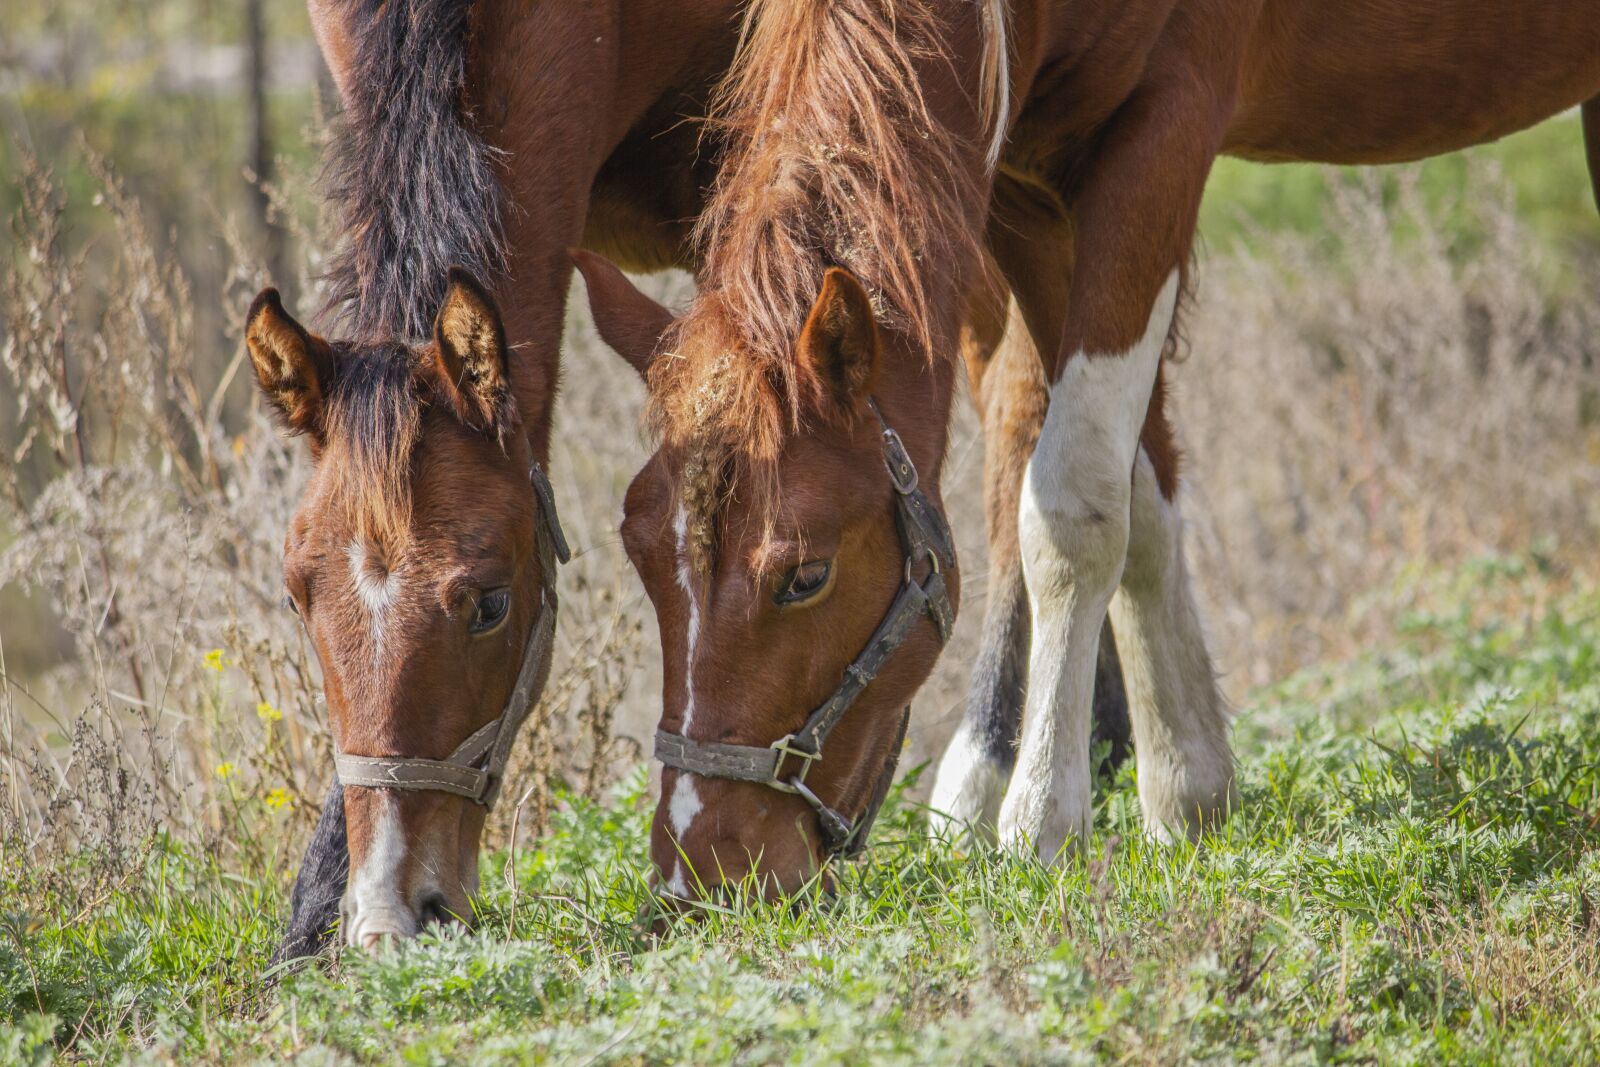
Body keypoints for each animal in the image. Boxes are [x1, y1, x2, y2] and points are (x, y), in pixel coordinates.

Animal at [576, 0, 1600, 895]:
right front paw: (1187, 783)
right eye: (640, 555)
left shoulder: (1162, 136)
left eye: (805, 575)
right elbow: (1136, 490)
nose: (698, 869)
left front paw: (1040, 816)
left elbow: (1071, 503)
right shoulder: (1027, 189)